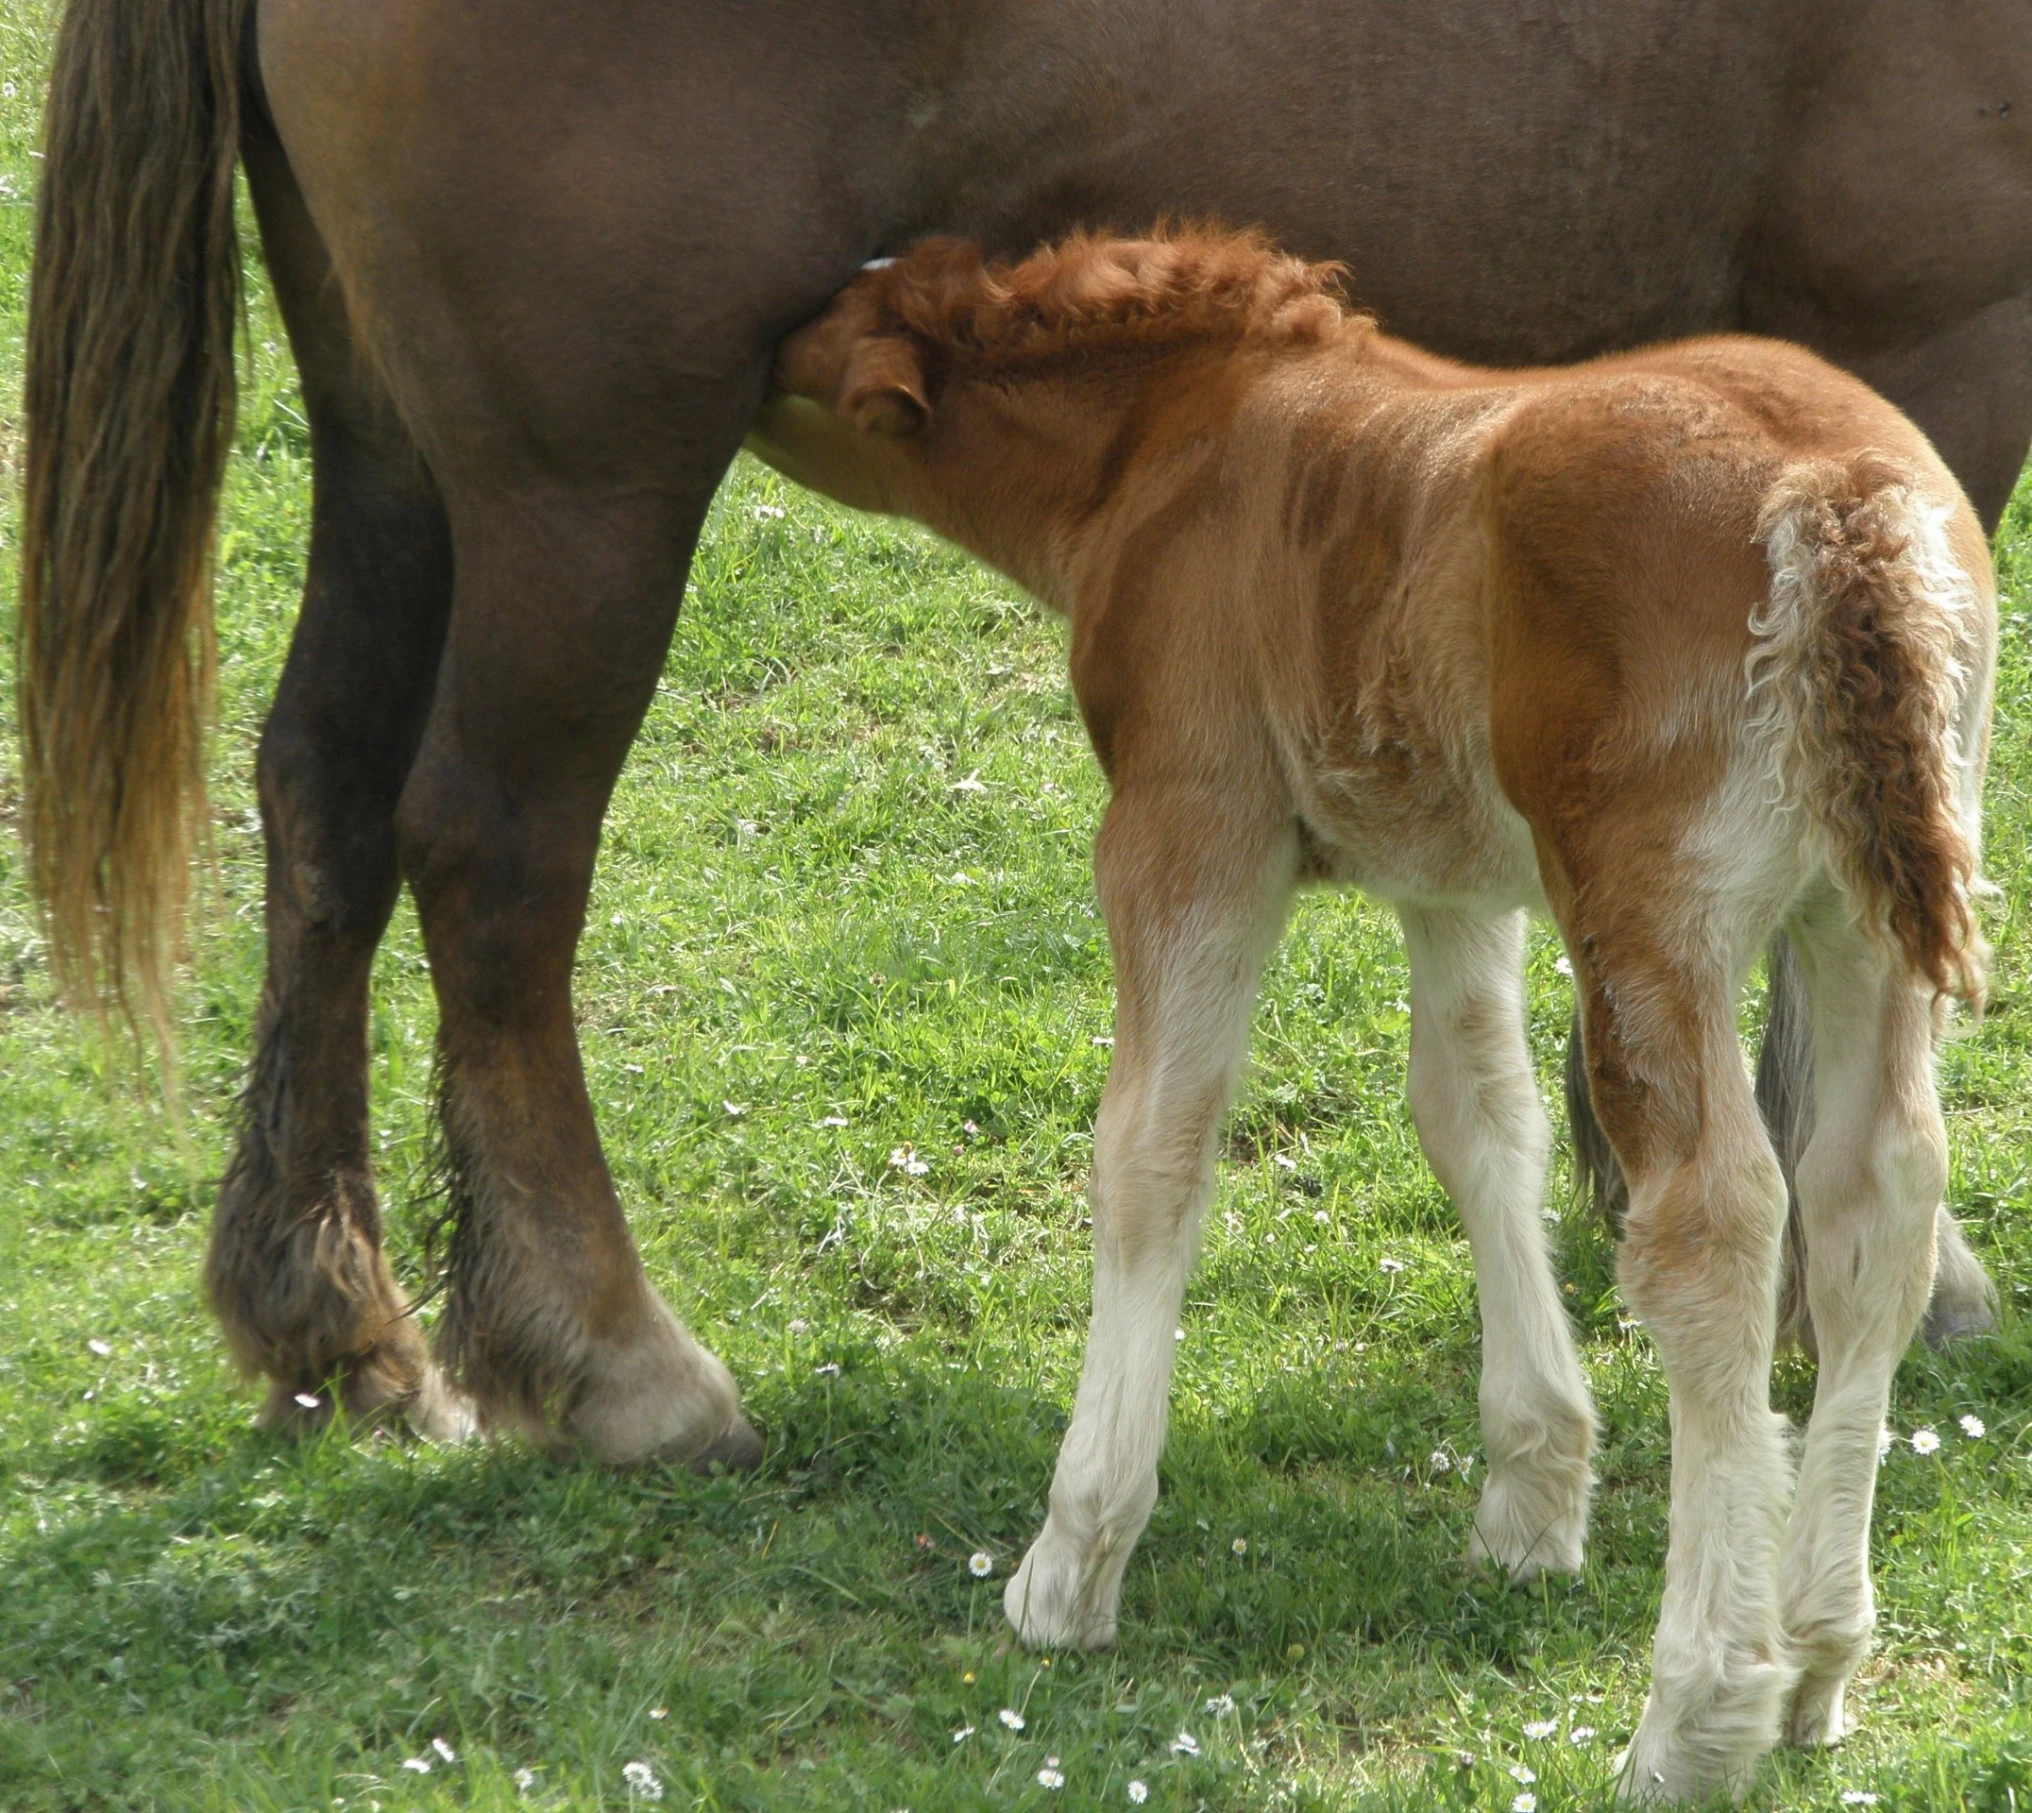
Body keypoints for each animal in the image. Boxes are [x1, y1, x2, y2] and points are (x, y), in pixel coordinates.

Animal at [19, 0, 2032, 1528]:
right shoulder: (1926, 356)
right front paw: (1870, 1266)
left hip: (391, 442)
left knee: (327, 794)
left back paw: (328, 1318)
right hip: (580, 484)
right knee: (493, 853)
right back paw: (611, 1356)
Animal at [751, 233, 1999, 1804]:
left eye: (816, 339)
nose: (742, 364)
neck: (1161, 448)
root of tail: (1845, 504)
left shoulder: (1190, 825)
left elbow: (1152, 1144)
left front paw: (1073, 1557)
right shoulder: (1450, 875)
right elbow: (1476, 1118)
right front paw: (1534, 1491)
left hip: (1651, 906)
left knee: (1714, 1222)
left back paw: (1700, 1710)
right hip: (1858, 915)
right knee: (1871, 1198)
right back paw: (1822, 1655)